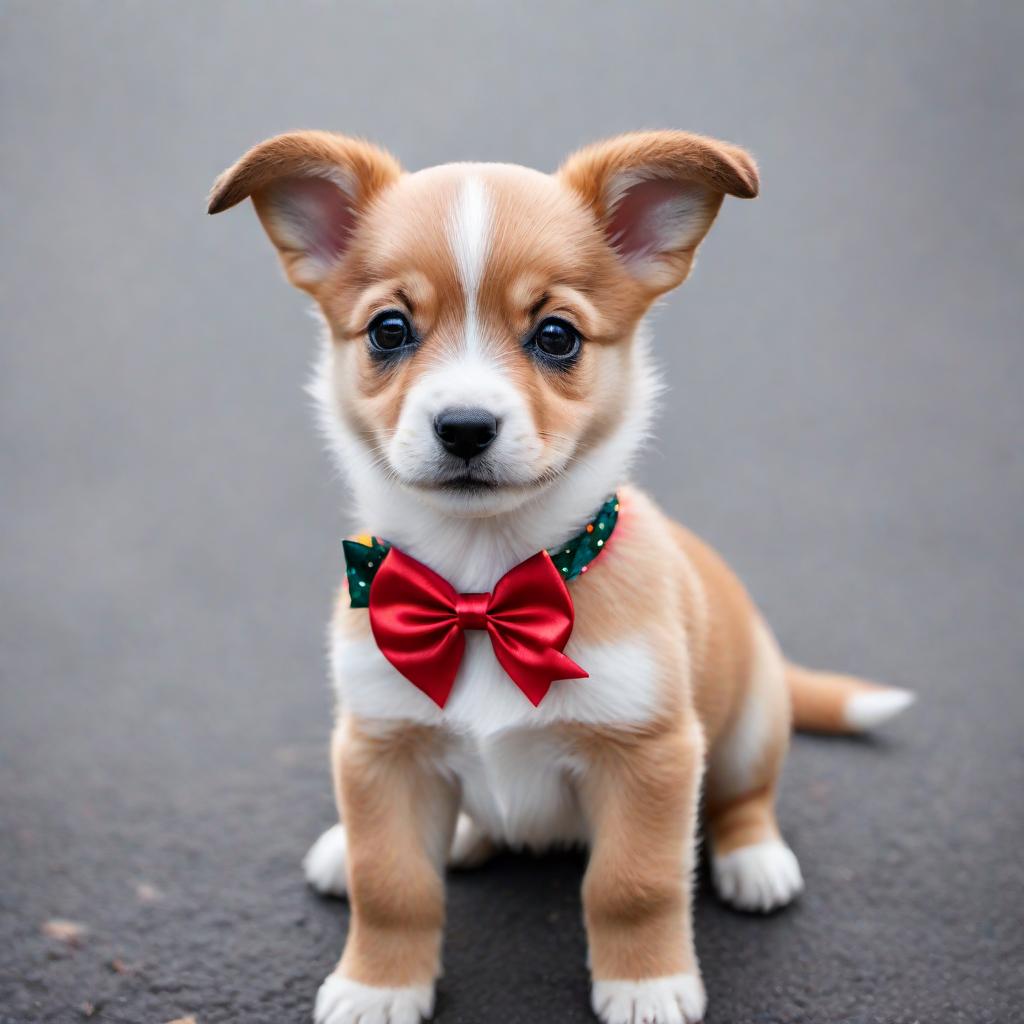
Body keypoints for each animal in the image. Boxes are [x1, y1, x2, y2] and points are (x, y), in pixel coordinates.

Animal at [207, 130, 913, 1024]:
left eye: (555, 337)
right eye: (390, 329)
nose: (465, 427)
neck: (480, 593)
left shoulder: (649, 755)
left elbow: (632, 885)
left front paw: (646, 983)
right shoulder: (379, 746)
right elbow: (392, 882)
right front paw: (377, 986)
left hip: (750, 722)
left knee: (743, 800)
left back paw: (755, 861)